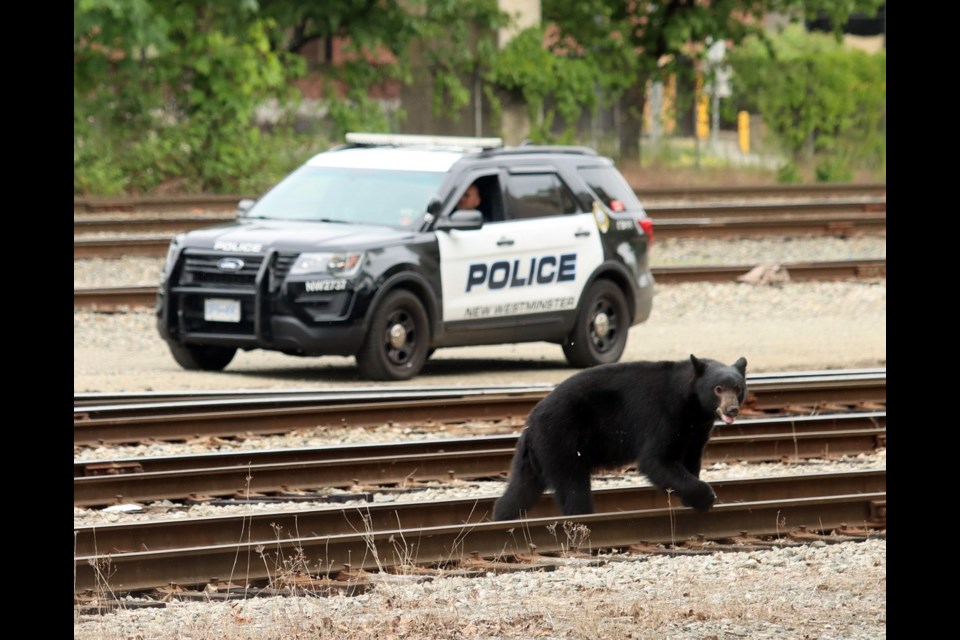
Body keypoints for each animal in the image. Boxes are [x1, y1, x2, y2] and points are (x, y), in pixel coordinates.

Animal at [496, 356, 752, 520]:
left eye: (738, 388)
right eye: (718, 388)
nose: (731, 410)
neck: (691, 405)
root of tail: (530, 422)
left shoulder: (697, 429)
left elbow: (690, 457)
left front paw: (692, 498)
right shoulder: (664, 416)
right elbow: (657, 461)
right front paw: (706, 496)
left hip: (536, 454)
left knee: (520, 490)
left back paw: (501, 517)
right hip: (561, 439)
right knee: (572, 487)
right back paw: (584, 516)